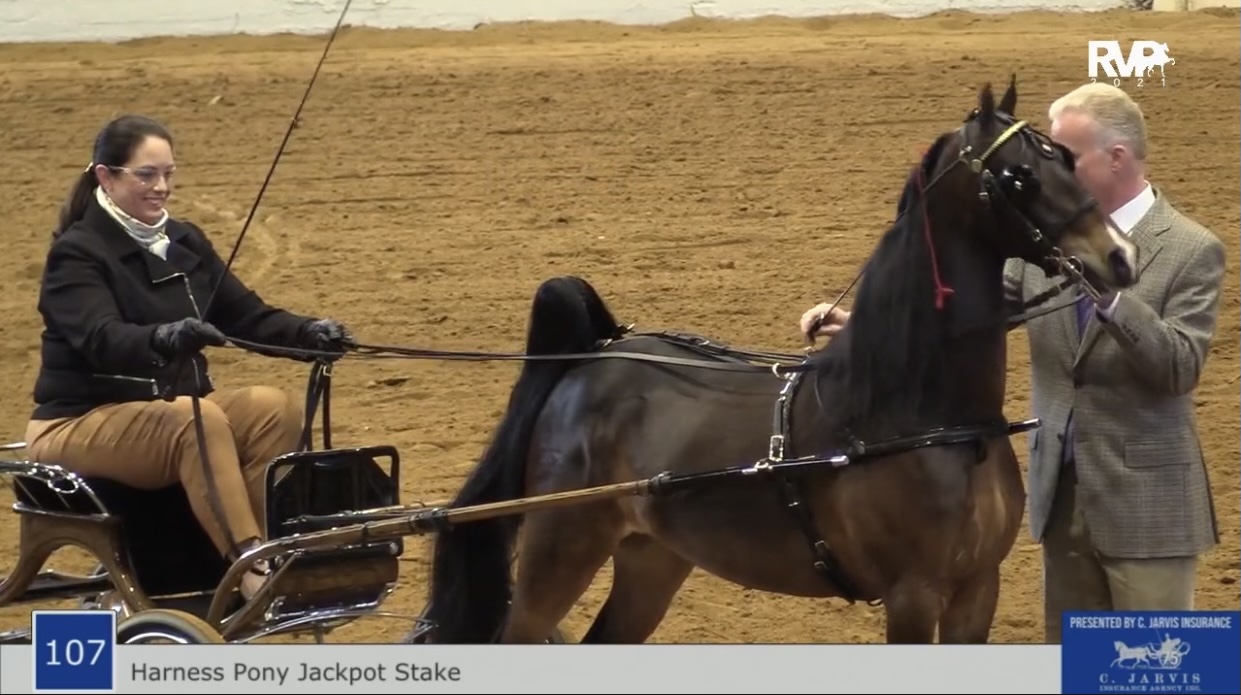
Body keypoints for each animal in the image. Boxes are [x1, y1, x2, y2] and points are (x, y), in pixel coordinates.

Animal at [415, 77, 1141, 645]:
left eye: (1068, 159)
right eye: (1018, 176)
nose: (1118, 256)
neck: (923, 418)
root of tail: (592, 355)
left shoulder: (975, 587)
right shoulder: (912, 594)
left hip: (652, 558)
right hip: (558, 552)